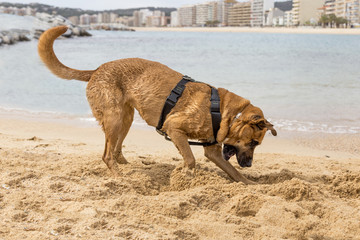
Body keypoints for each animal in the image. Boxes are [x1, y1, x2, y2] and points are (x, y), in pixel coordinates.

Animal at [38, 25, 278, 184]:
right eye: (254, 143)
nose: (250, 165)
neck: (223, 111)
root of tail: (96, 70)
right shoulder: (175, 128)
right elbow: (190, 159)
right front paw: (185, 178)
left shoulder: (213, 152)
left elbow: (233, 172)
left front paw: (251, 184)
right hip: (114, 118)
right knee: (107, 155)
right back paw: (120, 178)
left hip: (125, 120)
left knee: (115, 150)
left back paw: (131, 168)